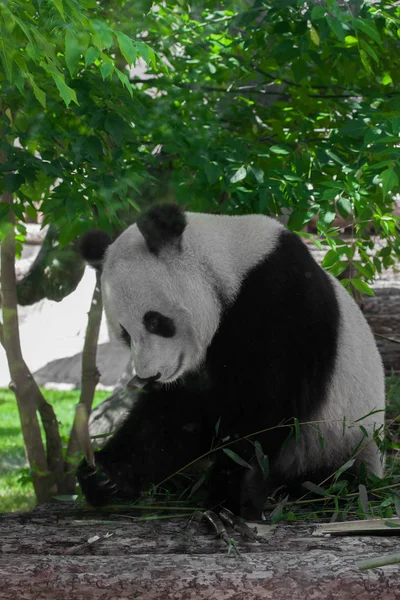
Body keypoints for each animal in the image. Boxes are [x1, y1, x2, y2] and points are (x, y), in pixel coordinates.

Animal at [76, 203, 386, 520]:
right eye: (125, 334)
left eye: (154, 321)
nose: (150, 376)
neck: (229, 267)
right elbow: (175, 418)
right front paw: (103, 476)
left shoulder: (284, 298)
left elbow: (263, 408)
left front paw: (231, 500)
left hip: (341, 440)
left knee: (332, 477)